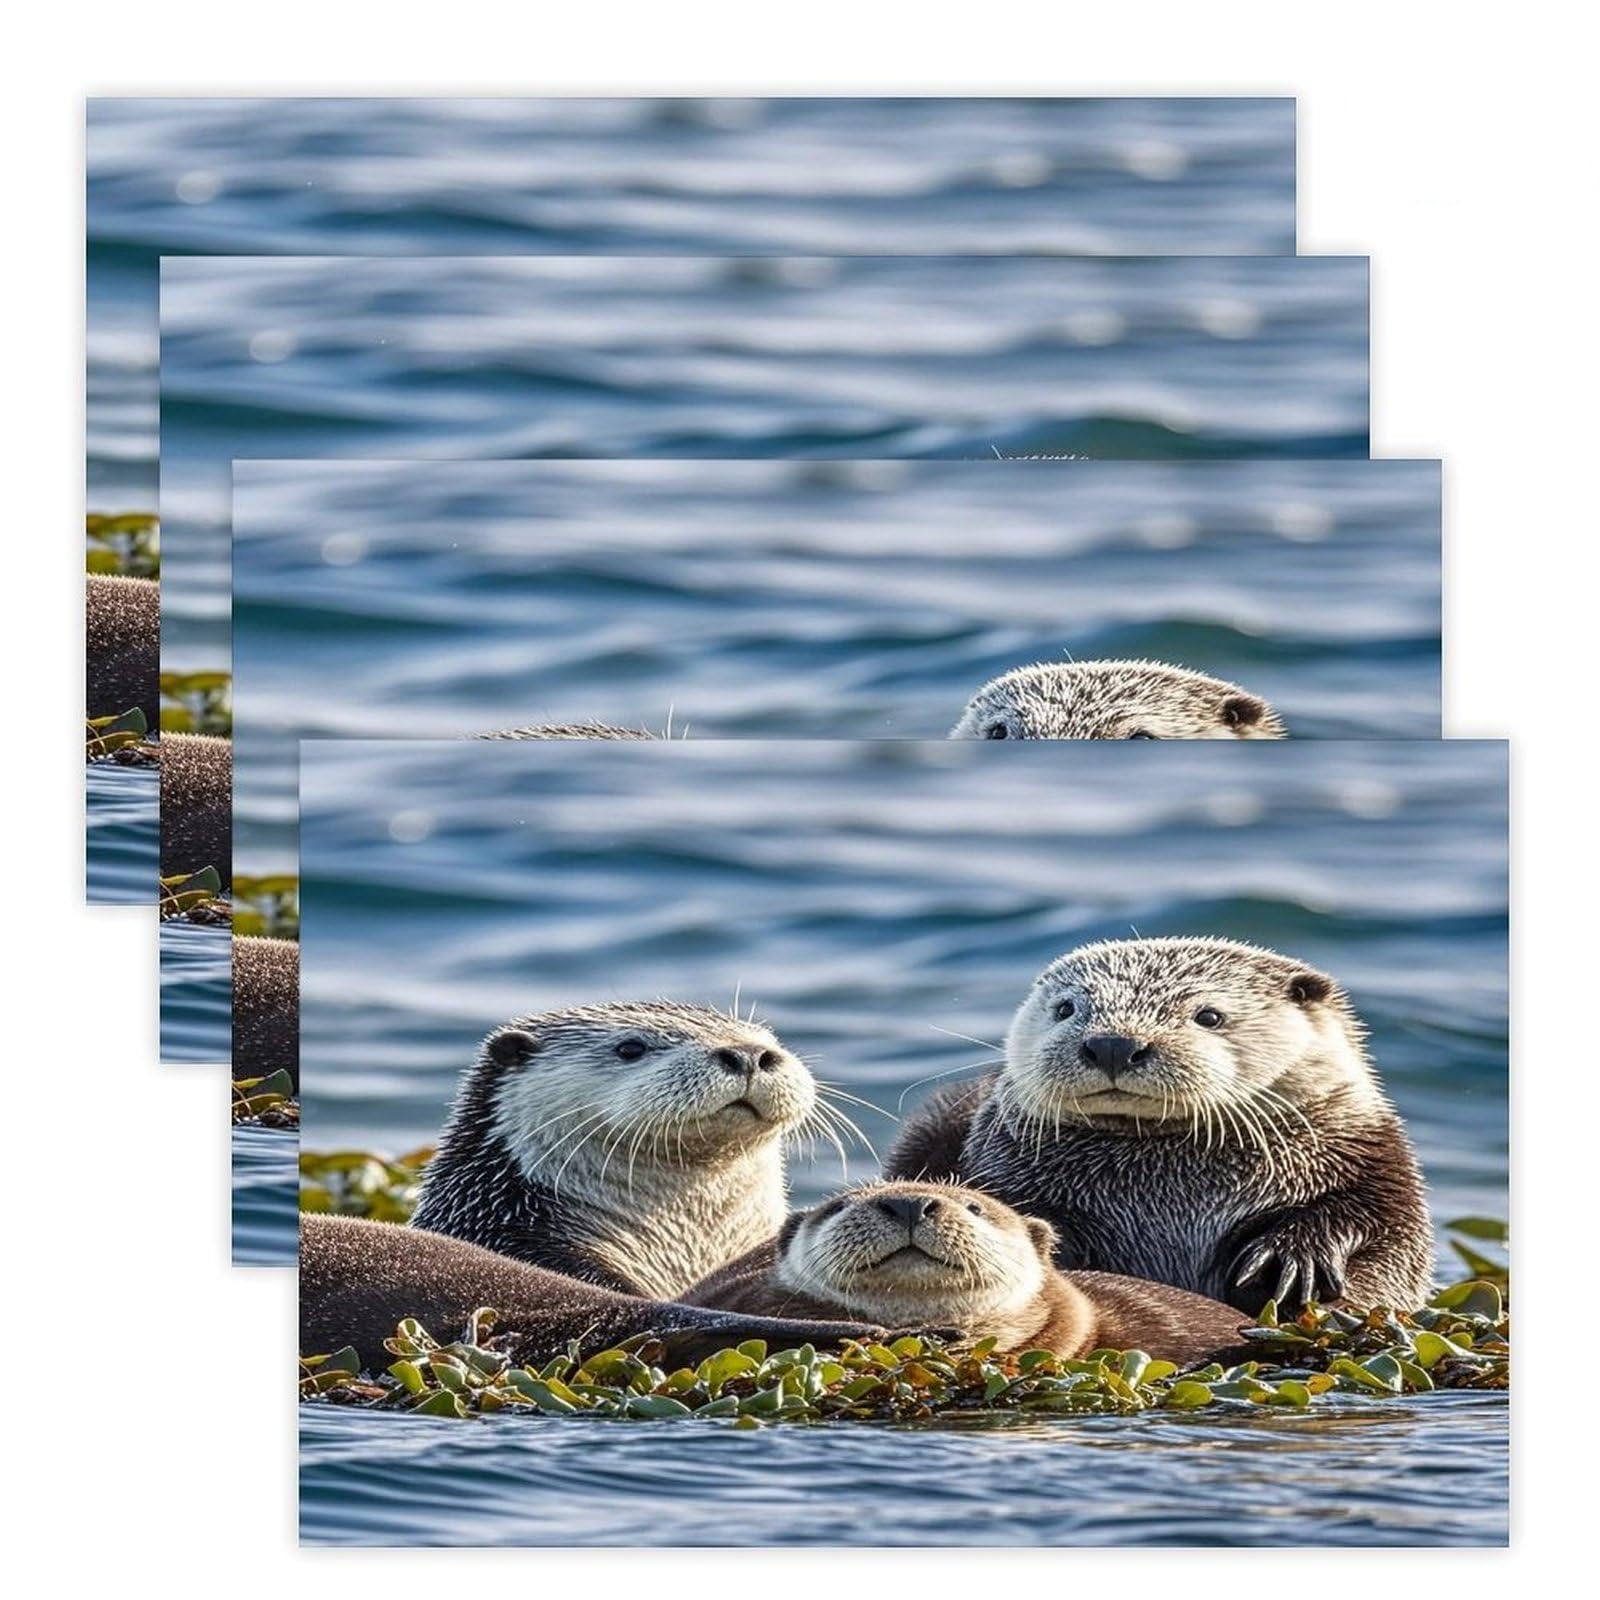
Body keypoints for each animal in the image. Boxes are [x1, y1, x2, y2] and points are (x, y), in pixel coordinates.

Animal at [886, 938, 1433, 1314]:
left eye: (1208, 1016)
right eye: (1066, 1008)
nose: (1113, 1043)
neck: (1168, 1194)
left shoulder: (1373, 1165)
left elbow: (1379, 1228)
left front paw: (1298, 1258)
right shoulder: (1006, 1171)